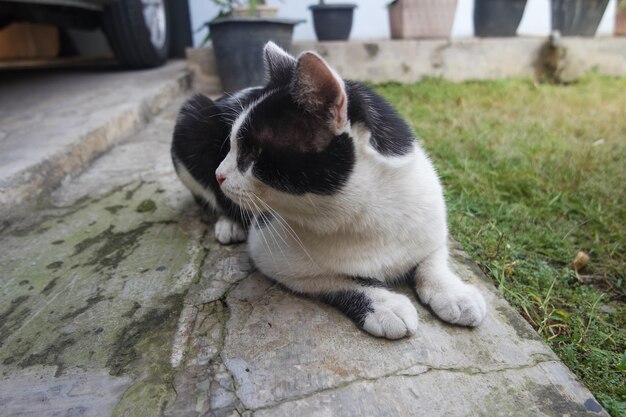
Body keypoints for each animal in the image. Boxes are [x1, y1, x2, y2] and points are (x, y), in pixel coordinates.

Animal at [172, 41, 488, 338]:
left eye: (252, 154)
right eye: (230, 146)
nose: (220, 174)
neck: (368, 212)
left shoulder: (430, 222)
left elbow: (433, 258)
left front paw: (454, 293)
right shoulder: (271, 253)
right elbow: (335, 279)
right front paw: (383, 305)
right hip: (191, 116)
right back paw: (229, 222)